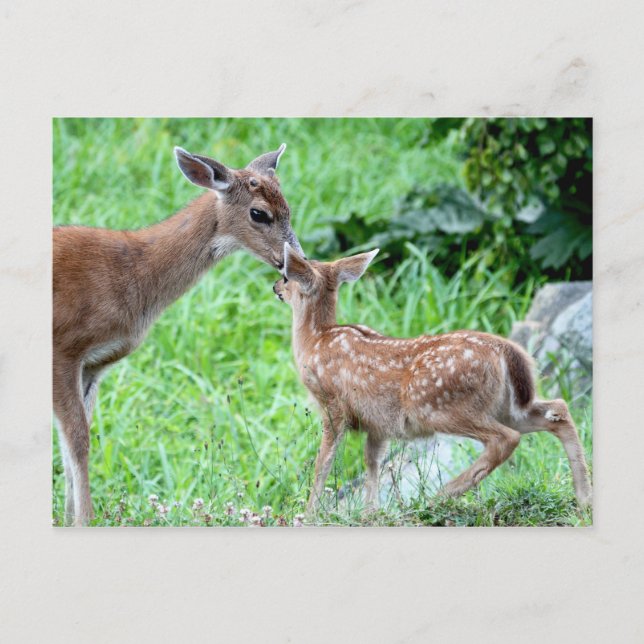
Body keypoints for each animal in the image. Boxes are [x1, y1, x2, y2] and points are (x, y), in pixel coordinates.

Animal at [53, 144, 303, 525]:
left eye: (289, 207)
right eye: (259, 213)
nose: (297, 260)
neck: (131, 276)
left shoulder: (92, 365)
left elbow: (72, 442)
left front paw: (70, 519)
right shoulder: (63, 348)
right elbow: (78, 440)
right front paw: (85, 520)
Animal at [273, 243, 593, 516]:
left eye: (286, 276)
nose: (275, 287)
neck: (315, 340)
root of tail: (507, 351)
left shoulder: (332, 404)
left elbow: (323, 462)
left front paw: (310, 512)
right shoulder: (379, 423)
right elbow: (372, 462)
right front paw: (370, 513)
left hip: (438, 405)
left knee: (505, 438)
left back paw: (438, 497)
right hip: (507, 406)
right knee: (558, 410)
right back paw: (584, 499)